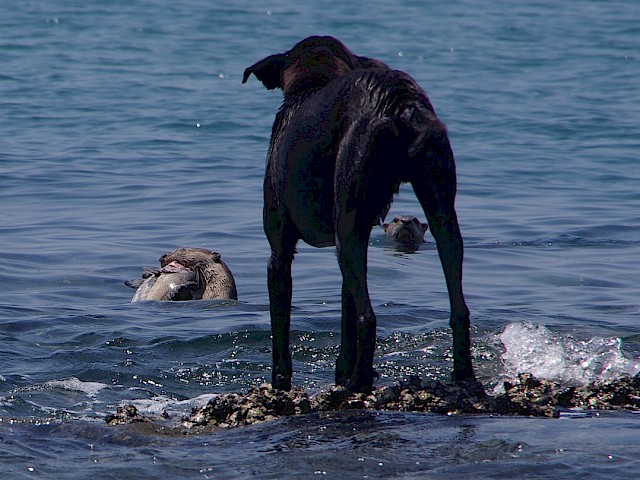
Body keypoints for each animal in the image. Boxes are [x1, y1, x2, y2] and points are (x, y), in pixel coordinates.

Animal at [244, 35, 476, 392]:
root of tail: (401, 103)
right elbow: (346, 317)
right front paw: (341, 372)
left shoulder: (279, 253)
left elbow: (282, 336)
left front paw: (281, 384)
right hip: (440, 211)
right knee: (458, 302)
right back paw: (463, 375)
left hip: (348, 220)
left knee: (369, 316)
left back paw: (360, 382)